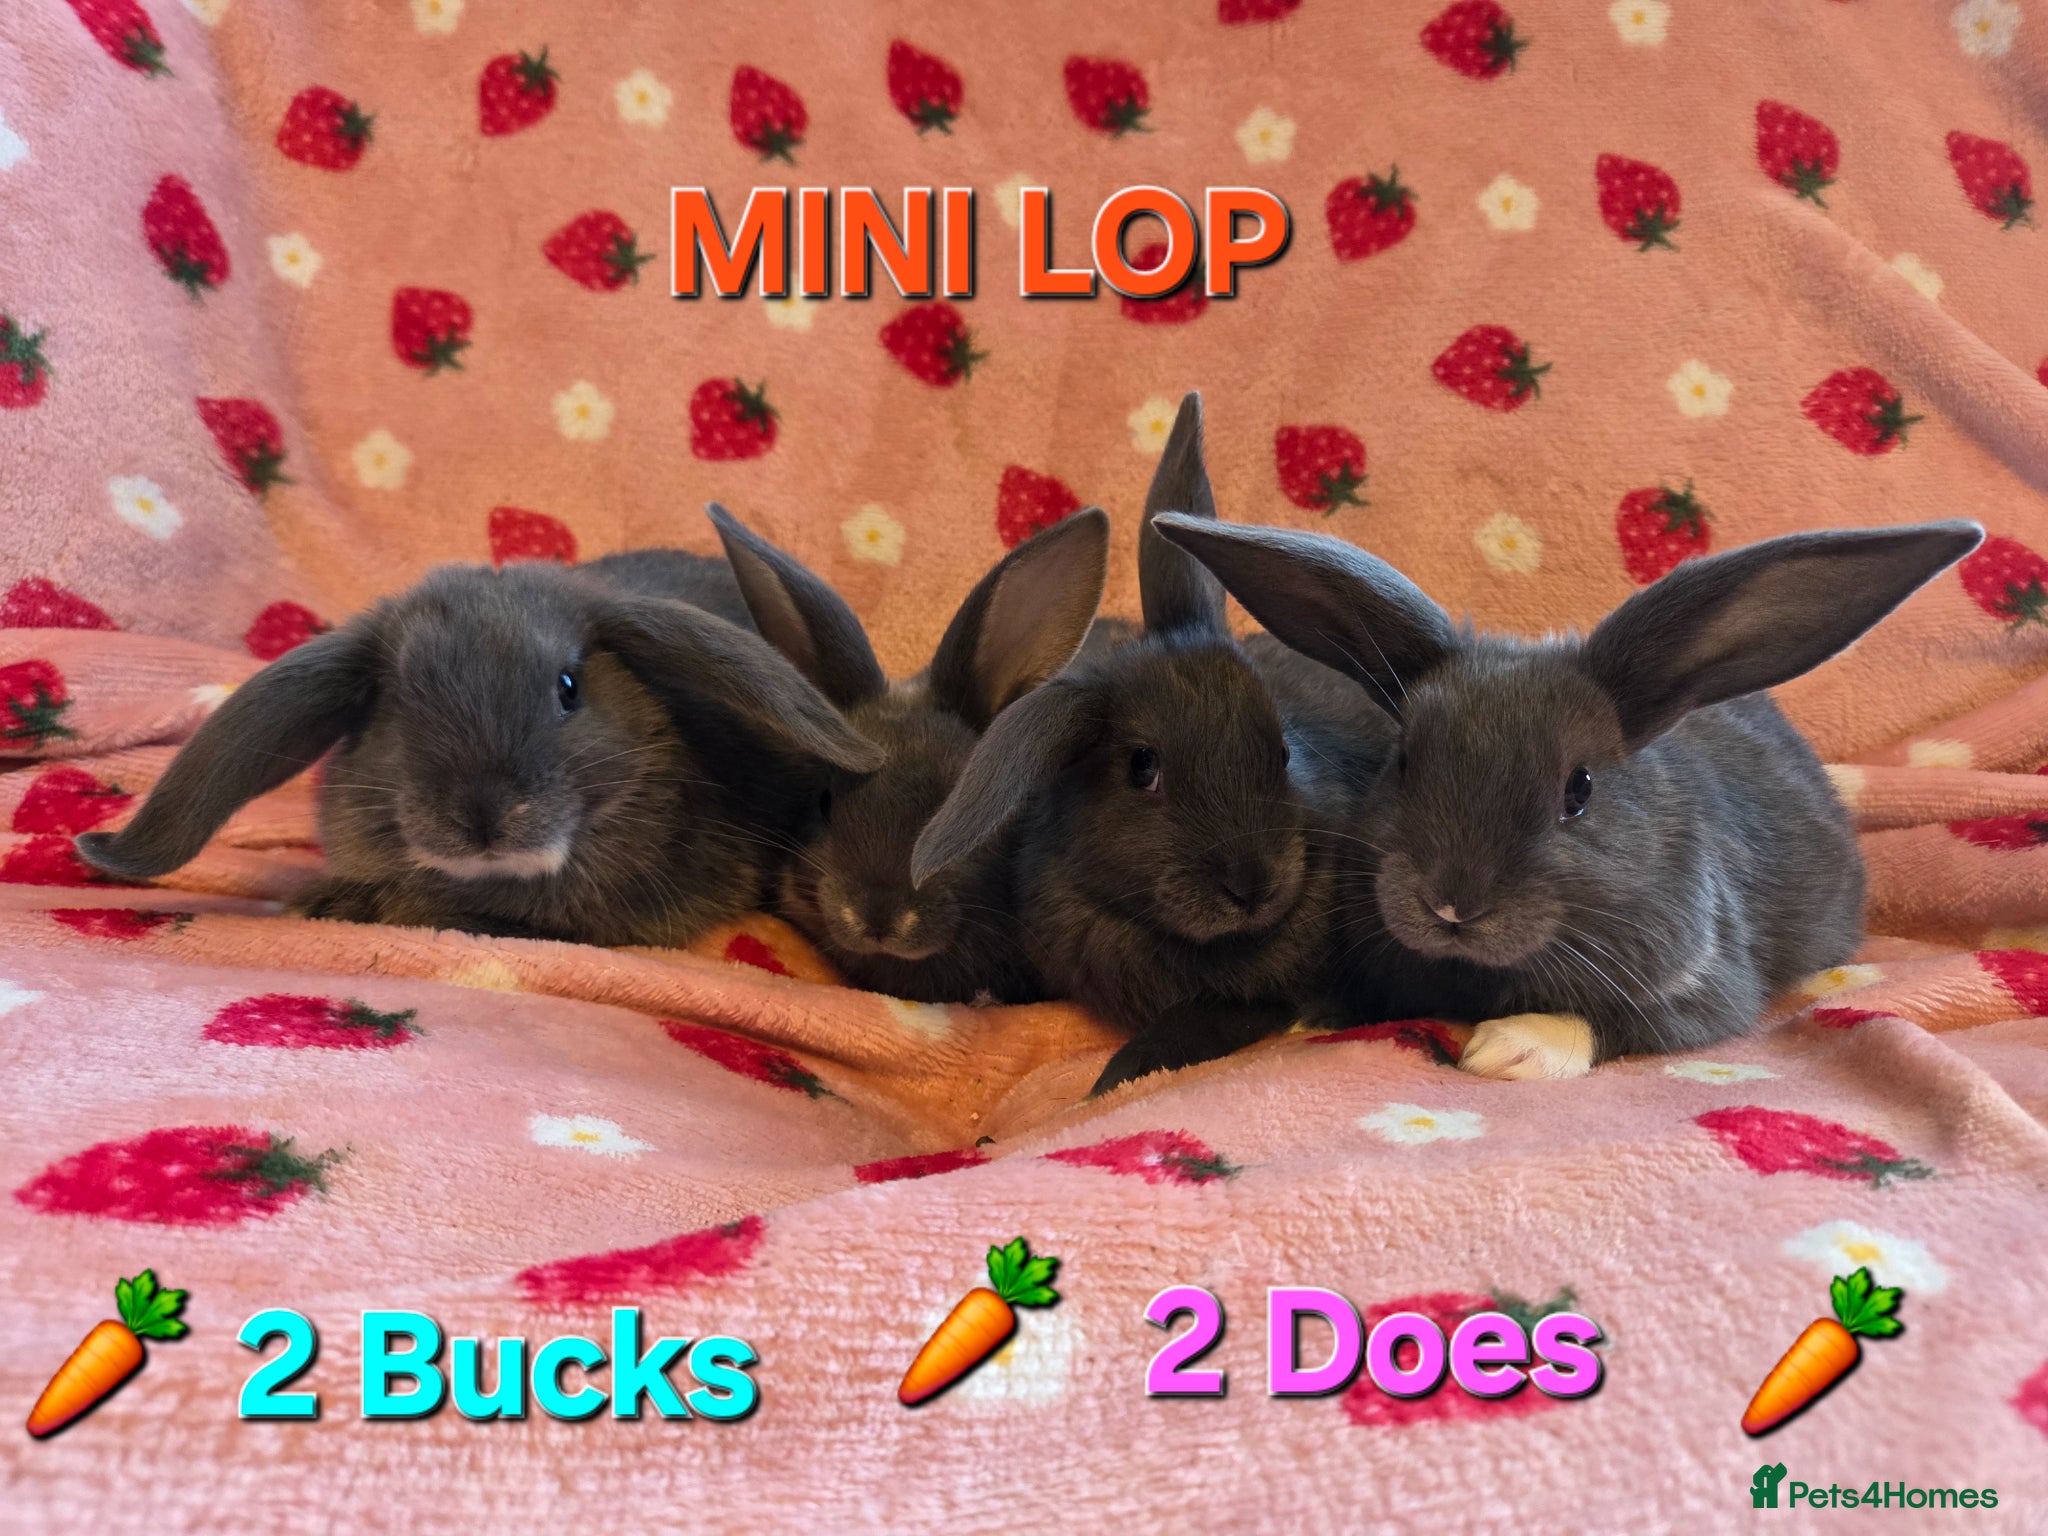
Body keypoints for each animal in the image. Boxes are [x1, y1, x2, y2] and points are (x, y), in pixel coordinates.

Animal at [1149, 511, 1985, 1080]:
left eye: (1578, 789)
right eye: (1404, 762)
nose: (1452, 905)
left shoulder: (1706, 988)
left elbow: (1618, 1023)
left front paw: (1507, 1047)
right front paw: (1305, 1025)